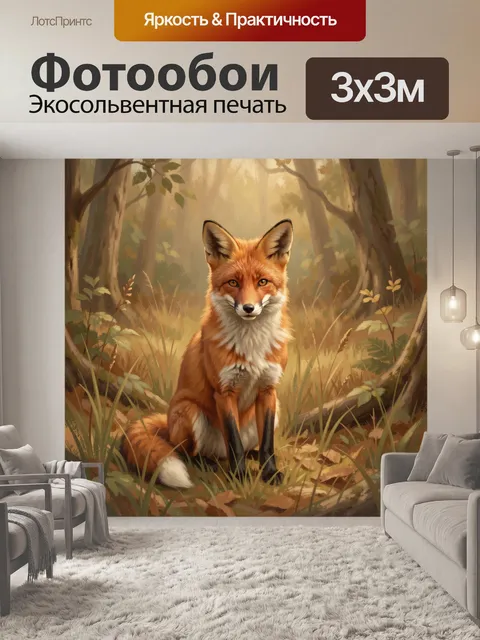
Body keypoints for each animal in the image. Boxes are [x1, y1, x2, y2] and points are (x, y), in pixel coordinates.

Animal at [121, 218, 294, 489]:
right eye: (233, 283)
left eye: (262, 282)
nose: (248, 308)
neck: (251, 345)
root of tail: (167, 422)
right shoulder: (224, 391)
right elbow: (234, 441)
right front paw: (239, 476)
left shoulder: (268, 389)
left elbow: (267, 443)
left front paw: (269, 473)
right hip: (190, 412)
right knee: (185, 451)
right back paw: (207, 463)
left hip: (276, 409)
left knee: (245, 446)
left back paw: (250, 455)